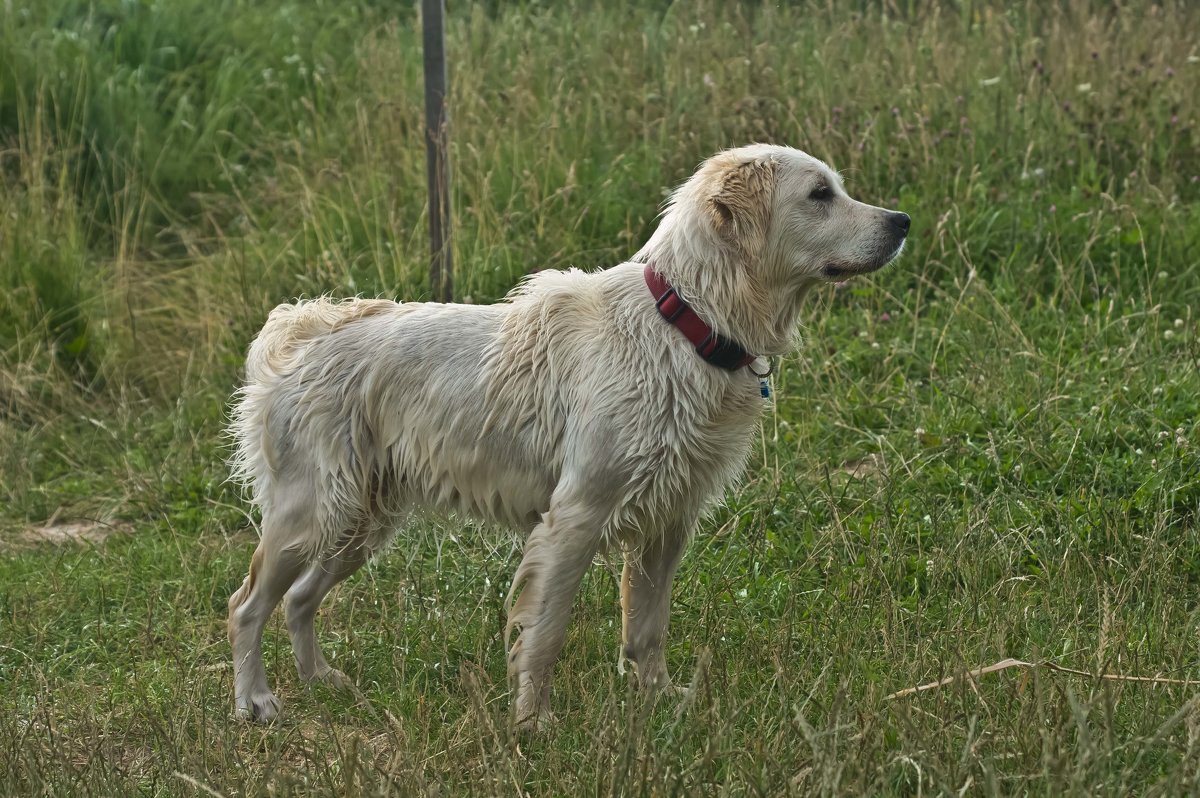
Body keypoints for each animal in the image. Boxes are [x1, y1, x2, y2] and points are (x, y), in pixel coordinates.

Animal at [225, 143, 902, 729]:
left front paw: (658, 701)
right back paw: (255, 701)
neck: (685, 323)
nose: (903, 221)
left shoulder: (667, 521)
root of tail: (303, 337)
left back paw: (321, 681)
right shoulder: (575, 518)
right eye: (819, 194)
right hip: (311, 514)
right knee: (247, 605)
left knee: (299, 599)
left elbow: (647, 628)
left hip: (359, 523)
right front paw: (533, 723)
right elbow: (545, 633)